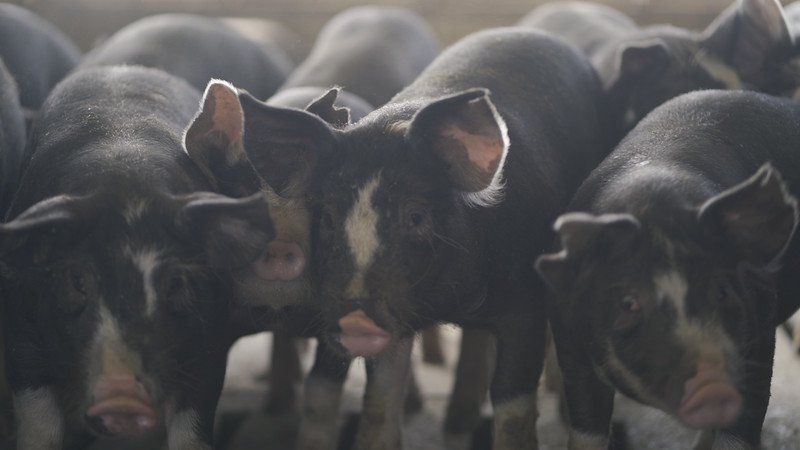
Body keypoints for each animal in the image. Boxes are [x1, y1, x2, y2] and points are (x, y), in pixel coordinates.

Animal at [0, 66, 274, 450]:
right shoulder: (16, 314)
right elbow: (39, 424)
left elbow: (193, 431)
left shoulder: (212, 333)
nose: (123, 398)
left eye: (175, 282)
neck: (127, 179)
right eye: (77, 278)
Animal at [227, 27, 607, 449]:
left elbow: (513, 411)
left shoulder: (526, 305)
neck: (450, 302)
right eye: (326, 217)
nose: (356, 316)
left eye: (416, 216)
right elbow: (380, 404)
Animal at [536, 89, 800, 449]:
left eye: (721, 291)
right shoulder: (570, 347)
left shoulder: (760, 331)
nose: (711, 385)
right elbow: (586, 428)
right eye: (628, 303)